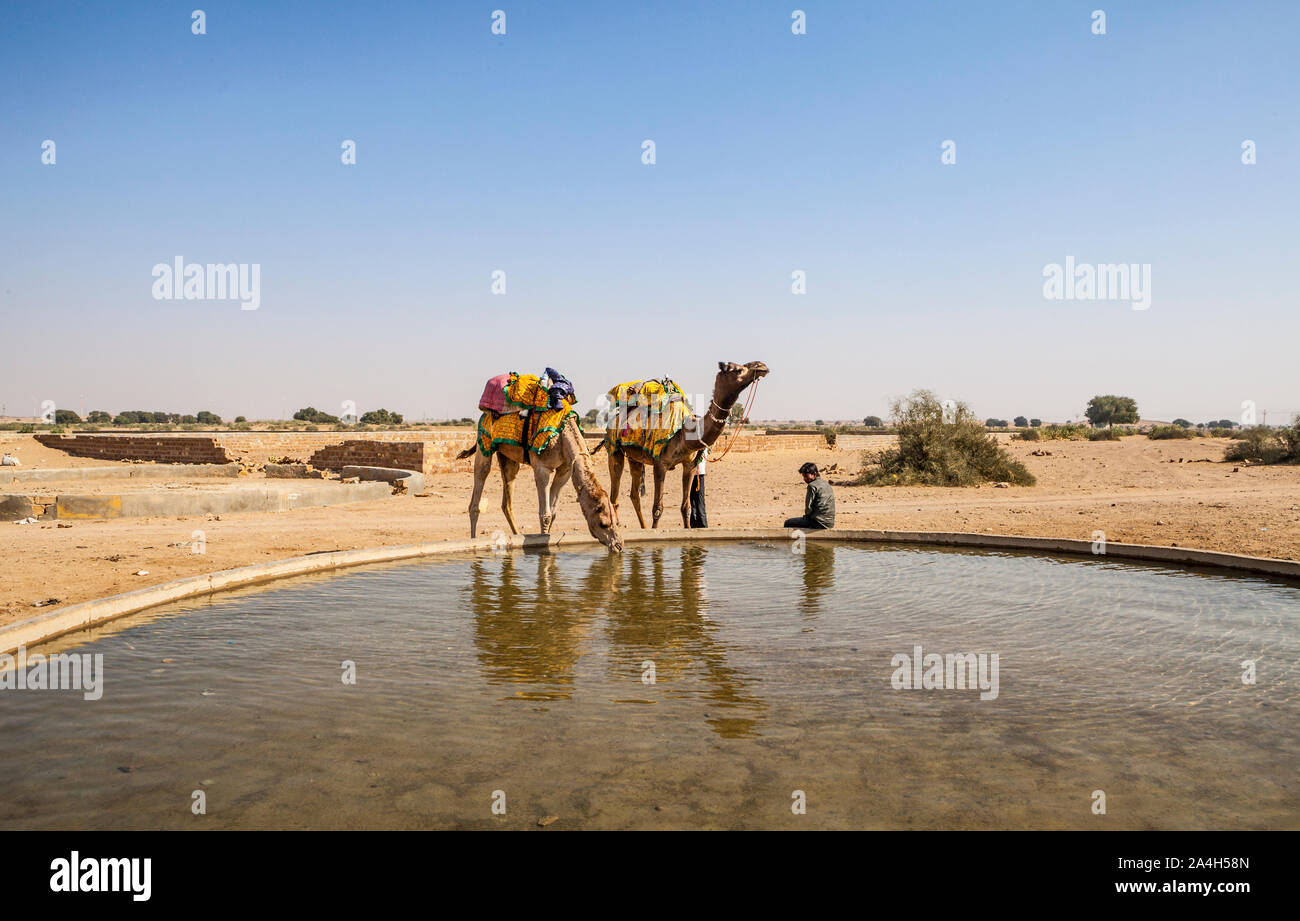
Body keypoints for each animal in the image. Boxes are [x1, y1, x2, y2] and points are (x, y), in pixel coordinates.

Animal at [452, 413, 624, 551]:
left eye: (618, 522)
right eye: (602, 523)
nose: (618, 545)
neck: (563, 436)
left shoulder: (565, 469)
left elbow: (553, 512)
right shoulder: (542, 468)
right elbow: (545, 514)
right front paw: (542, 545)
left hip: (508, 457)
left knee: (507, 500)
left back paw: (516, 536)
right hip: (484, 443)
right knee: (480, 483)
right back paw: (474, 541)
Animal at [603, 361, 764, 533]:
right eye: (738, 369)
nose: (761, 366)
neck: (684, 433)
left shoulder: (690, 465)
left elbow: (686, 507)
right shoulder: (660, 464)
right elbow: (657, 508)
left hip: (635, 458)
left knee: (634, 494)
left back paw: (644, 527)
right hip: (615, 450)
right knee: (614, 495)